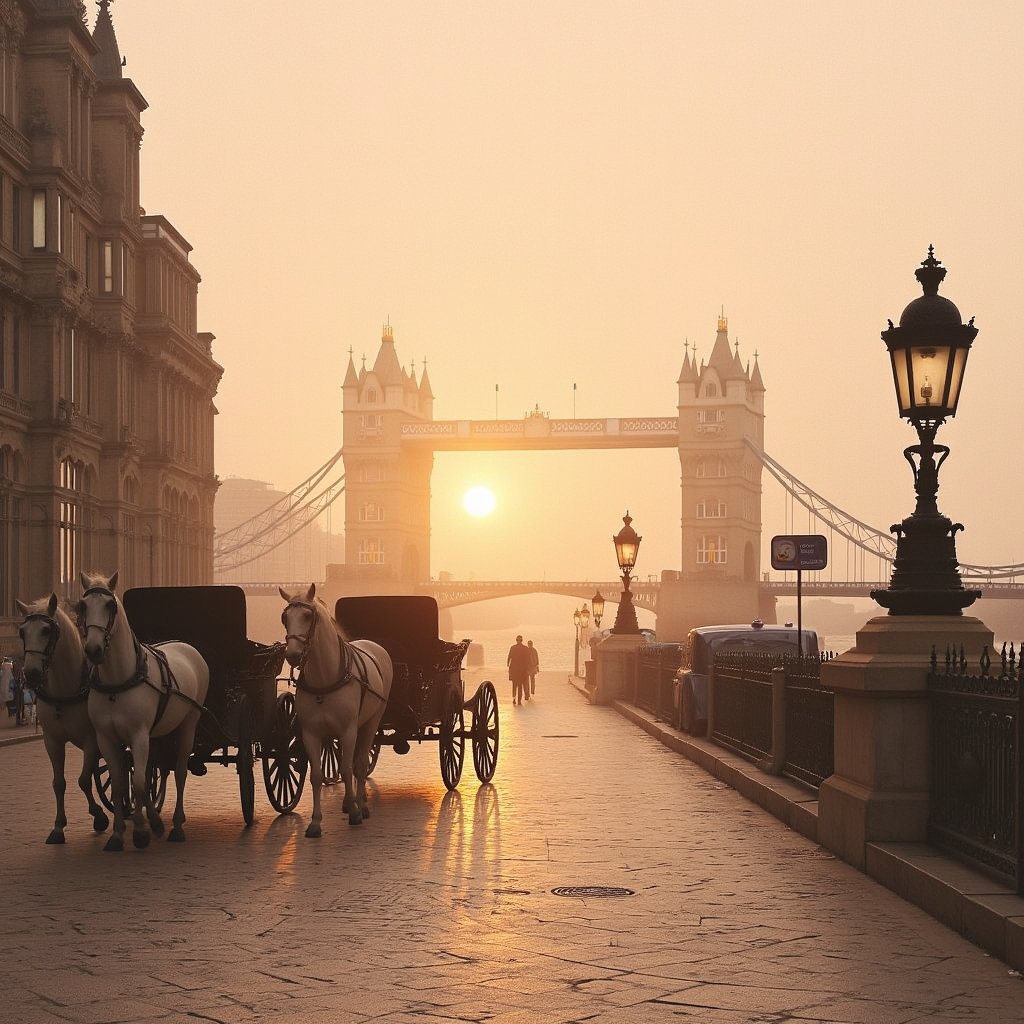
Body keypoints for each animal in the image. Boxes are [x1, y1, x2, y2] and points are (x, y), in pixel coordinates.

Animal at [16, 593, 110, 839]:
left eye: (46, 631)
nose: (30, 673)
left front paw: (99, 816)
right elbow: (59, 783)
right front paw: (58, 826)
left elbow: (84, 780)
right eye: (22, 632)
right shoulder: (52, 740)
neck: (65, 689)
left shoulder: (92, 739)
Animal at [79, 573, 209, 851]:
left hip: (189, 723)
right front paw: (118, 834)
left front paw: (140, 831)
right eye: (82, 606)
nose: (93, 649)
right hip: (157, 732)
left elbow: (138, 784)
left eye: (110, 606)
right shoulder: (106, 738)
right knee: (155, 768)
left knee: (179, 771)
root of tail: (186, 645)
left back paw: (176, 825)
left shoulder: (138, 734)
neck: (118, 682)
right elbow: (120, 784)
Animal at [280, 589, 391, 835]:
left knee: (360, 762)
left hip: (372, 720)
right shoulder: (310, 733)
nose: (292, 654)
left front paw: (355, 811)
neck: (324, 679)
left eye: (307, 616)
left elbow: (349, 768)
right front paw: (315, 822)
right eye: (285, 618)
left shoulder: (348, 730)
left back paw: (360, 804)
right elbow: (316, 775)